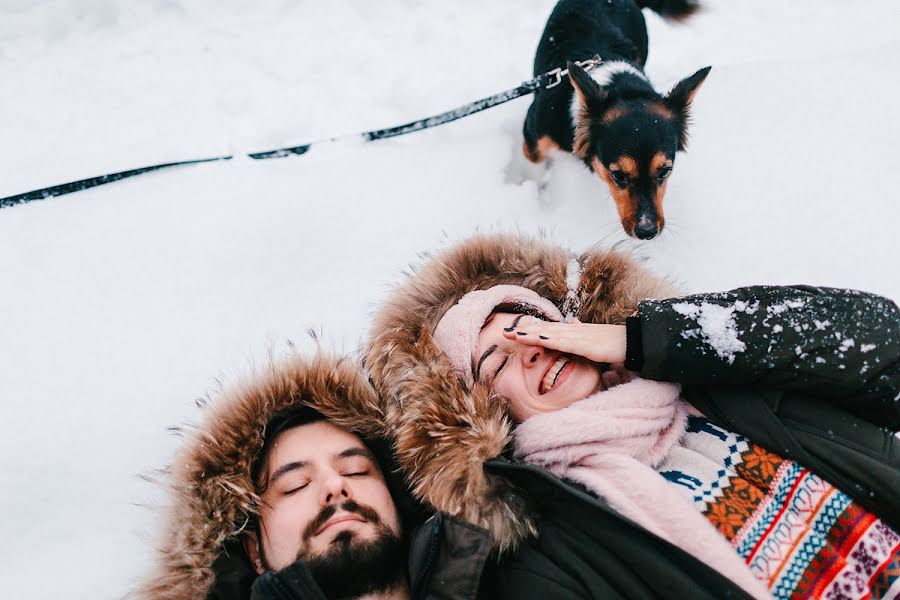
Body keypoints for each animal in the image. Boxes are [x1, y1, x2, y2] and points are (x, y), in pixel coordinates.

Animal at [528, 0, 712, 239]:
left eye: (664, 171)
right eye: (617, 175)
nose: (647, 232)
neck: (621, 87)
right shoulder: (534, 131)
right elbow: (535, 162)